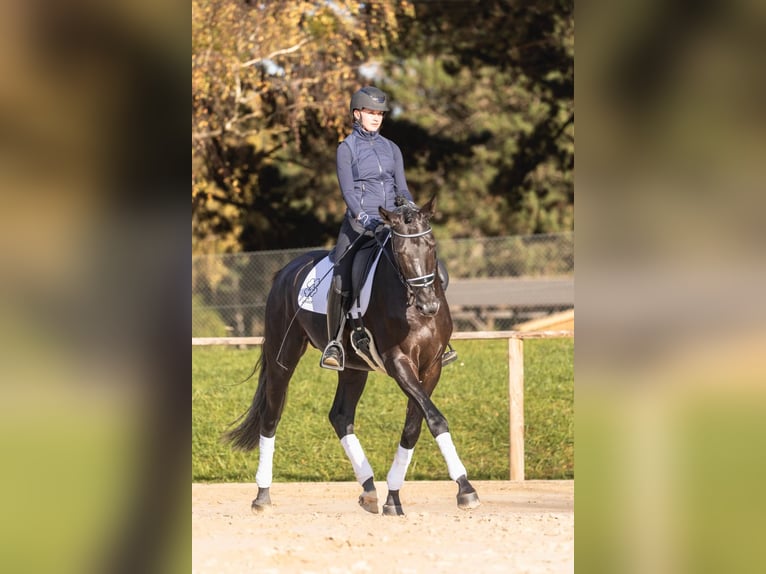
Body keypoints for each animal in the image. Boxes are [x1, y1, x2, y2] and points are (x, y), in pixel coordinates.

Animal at [225, 198, 484, 516]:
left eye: (431, 245)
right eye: (400, 252)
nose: (428, 306)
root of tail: (287, 270)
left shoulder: (432, 367)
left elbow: (414, 426)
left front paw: (393, 499)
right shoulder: (398, 362)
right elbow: (435, 419)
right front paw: (465, 488)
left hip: (353, 368)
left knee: (340, 416)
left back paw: (370, 488)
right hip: (281, 358)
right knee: (271, 417)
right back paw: (262, 494)